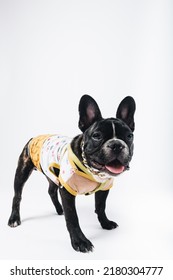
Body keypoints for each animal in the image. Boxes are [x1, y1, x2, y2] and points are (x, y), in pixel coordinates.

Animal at [8, 95, 136, 253]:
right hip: (22, 171)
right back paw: (14, 218)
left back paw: (59, 209)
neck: (92, 170)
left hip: (53, 176)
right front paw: (80, 241)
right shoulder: (67, 190)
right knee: (17, 196)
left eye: (129, 136)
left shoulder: (104, 189)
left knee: (51, 190)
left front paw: (105, 223)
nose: (116, 144)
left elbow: (101, 207)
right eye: (97, 136)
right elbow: (72, 218)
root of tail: (34, 137)